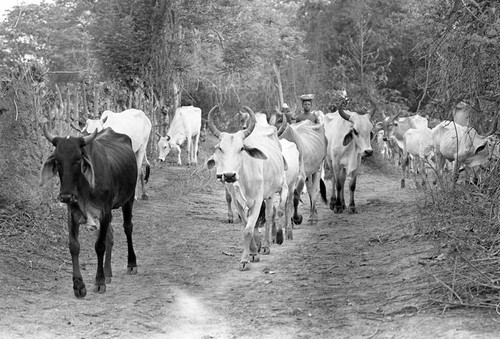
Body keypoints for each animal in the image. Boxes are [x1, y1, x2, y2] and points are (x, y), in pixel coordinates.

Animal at [39, 126, 139, 298]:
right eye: (57, 160)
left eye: (78, 159)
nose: (65, 195)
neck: (84, 188)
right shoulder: (72, 214)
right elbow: (74, 246)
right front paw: (79, 286)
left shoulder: (104, 212)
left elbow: (99, 246)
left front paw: (99, 282)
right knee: (110, 236)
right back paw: (108, 272)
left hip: (129, 198)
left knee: (127, 228)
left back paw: (131, 263)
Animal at [205, 106, 288, 270]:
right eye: (220, 148)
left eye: (241, 148)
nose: (229, 175)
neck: (244, 178)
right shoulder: (238, 202)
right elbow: (246, 225)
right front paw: (253, 252)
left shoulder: (257, 200)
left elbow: (249, 230)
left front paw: (246, 259)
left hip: (273, 191)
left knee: (269, 216)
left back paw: (268, 244)